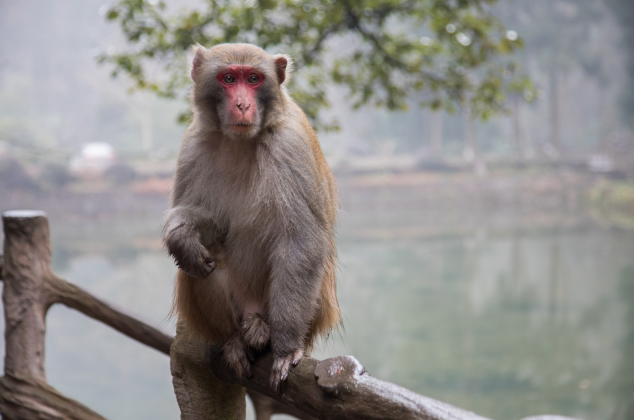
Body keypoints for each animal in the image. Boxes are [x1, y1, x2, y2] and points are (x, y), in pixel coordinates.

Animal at [163, 43, 340, 394]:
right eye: (229, 79)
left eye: (254, 79)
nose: (242, 104)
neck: (240, 141)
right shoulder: (194, 143)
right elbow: (207, 222)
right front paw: (181, 235)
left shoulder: (291, 146)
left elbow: (302, 243)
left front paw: (286, 349)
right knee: (203, 264)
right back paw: (236, 340)